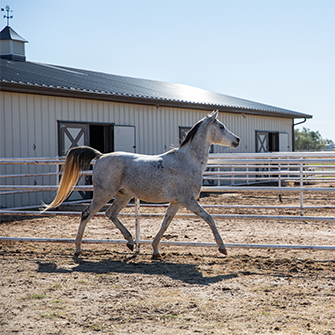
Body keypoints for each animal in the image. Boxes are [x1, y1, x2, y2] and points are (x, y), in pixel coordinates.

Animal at [43, 109, 240, 258]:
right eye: (221, 126)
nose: (237, 140)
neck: (187, 160)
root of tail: (100, 156)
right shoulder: (188, 200)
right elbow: (209, 218)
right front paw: (222, 248)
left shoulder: (176, 202)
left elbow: (165, 224)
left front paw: (155, 250)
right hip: (103, 194)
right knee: (86, 214)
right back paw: (78, 249)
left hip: (123, 195)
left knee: (110, 213)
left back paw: (131, 243)